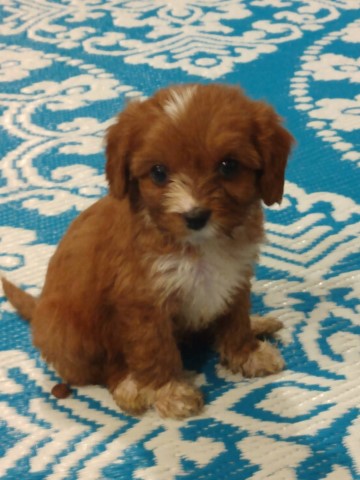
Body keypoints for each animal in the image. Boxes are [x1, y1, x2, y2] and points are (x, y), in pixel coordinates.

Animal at [1, 84, 294, 418]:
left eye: (228, 166)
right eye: (158, 173)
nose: (195, 216)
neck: (199, 246)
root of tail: (37, 311)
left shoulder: (234, 277)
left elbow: (235, 318)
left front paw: (247, 353)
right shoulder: (142, 303)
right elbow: (156, 349)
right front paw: (171, 391)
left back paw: (257, 324)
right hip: (71, 334)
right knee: (102, 369)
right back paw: (129, 387)